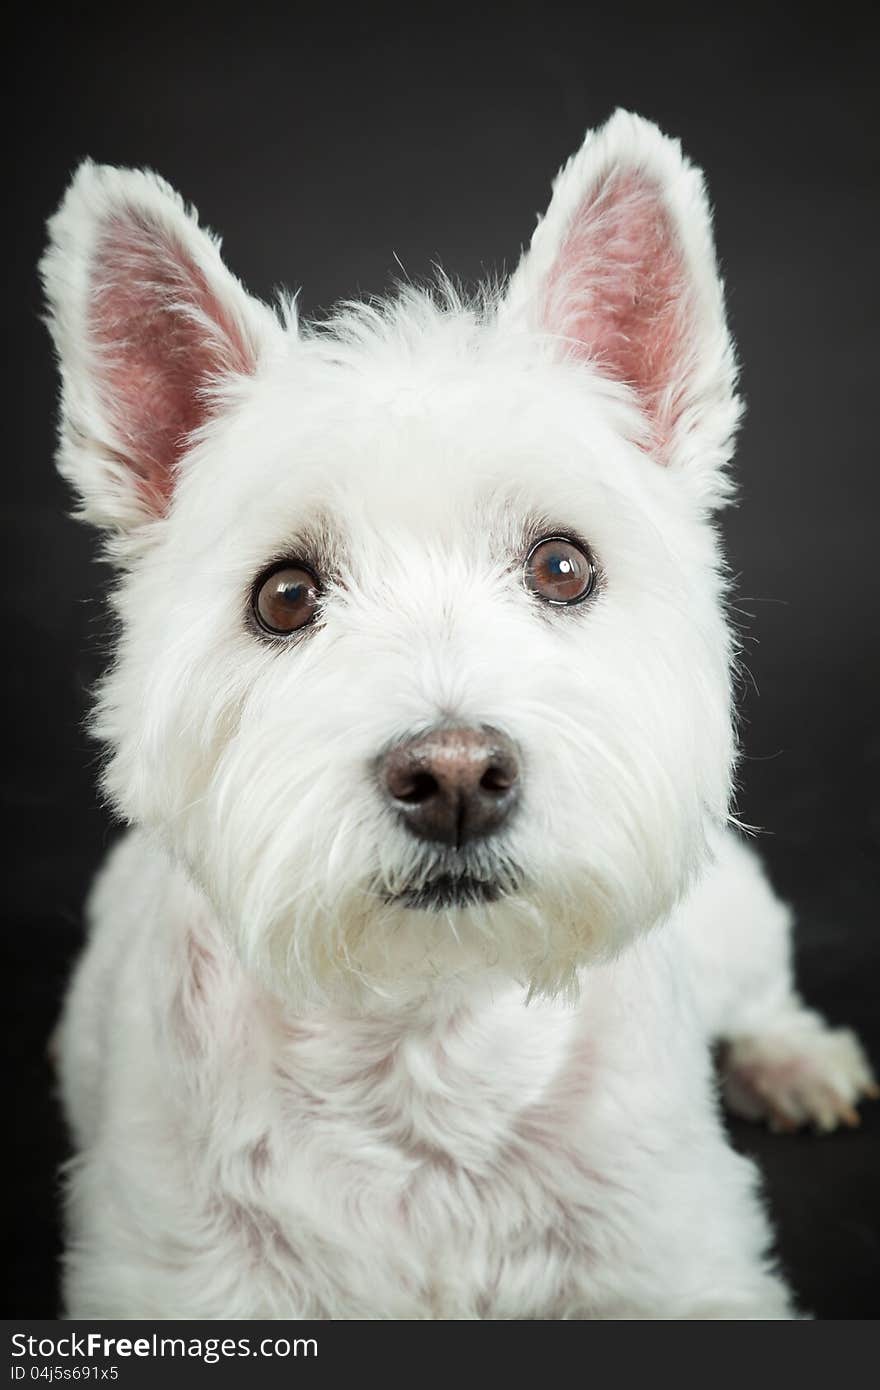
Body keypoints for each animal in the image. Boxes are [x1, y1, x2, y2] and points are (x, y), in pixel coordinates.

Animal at [41, 113, 873, 1317]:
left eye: (563, 566)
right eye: (284, 596)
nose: (454, 776)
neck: (423, 1042)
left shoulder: (675, 1255)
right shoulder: (181, 1271)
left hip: (729, 910)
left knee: (762, 984)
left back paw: (795, 1062)